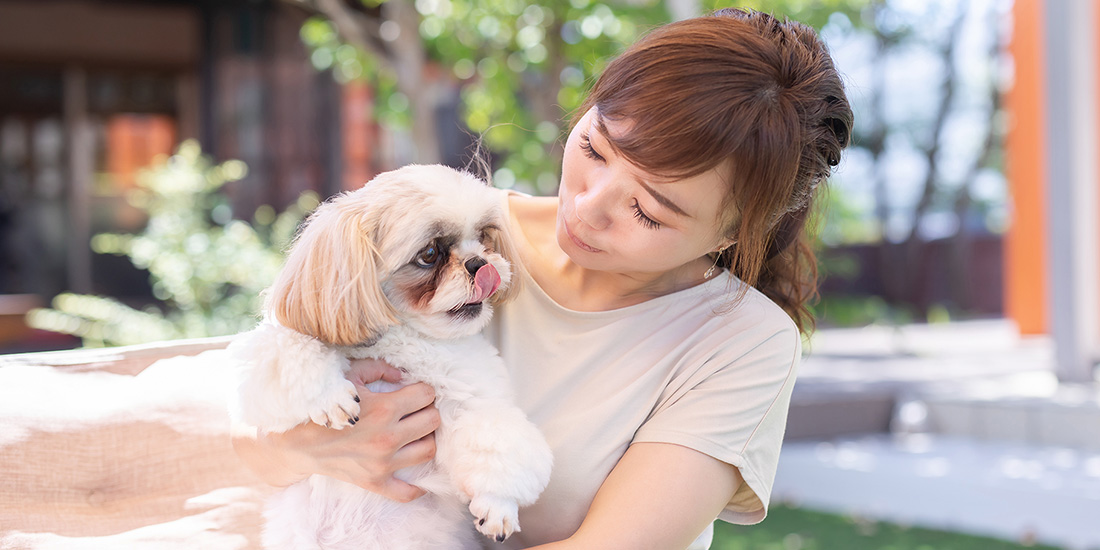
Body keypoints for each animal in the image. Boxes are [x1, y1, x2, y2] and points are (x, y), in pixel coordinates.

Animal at [233, 162, 558, 550]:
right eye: (429, 254)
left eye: (483, 237)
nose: (480, 263)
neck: (405, 339)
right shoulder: (267, 365)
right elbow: (292, 347)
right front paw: (329, 396)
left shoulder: (471, 400)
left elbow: (497, 442)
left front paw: (498, 504)